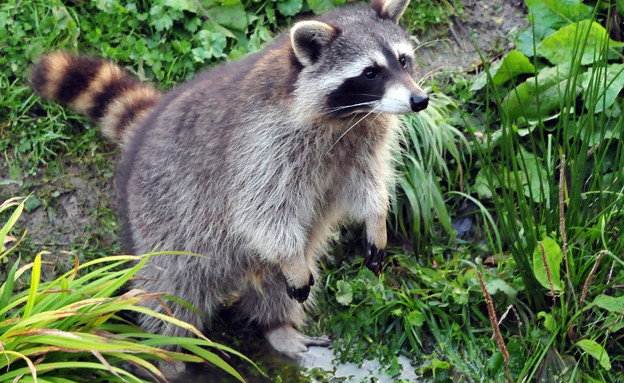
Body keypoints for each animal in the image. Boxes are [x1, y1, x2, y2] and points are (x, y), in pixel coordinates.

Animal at [30, 0, 428, 364]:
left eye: (403, 60)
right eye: (370, 73)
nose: (419, 100)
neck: (350, 116)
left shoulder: (362, 141)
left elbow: (367, 183)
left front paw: (376, 219)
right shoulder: (260, 147)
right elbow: (262, 211)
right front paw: (294, 252)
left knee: (275, 280)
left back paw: (277, 324)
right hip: (159, 221)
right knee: (172, 293)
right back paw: (168, 353)